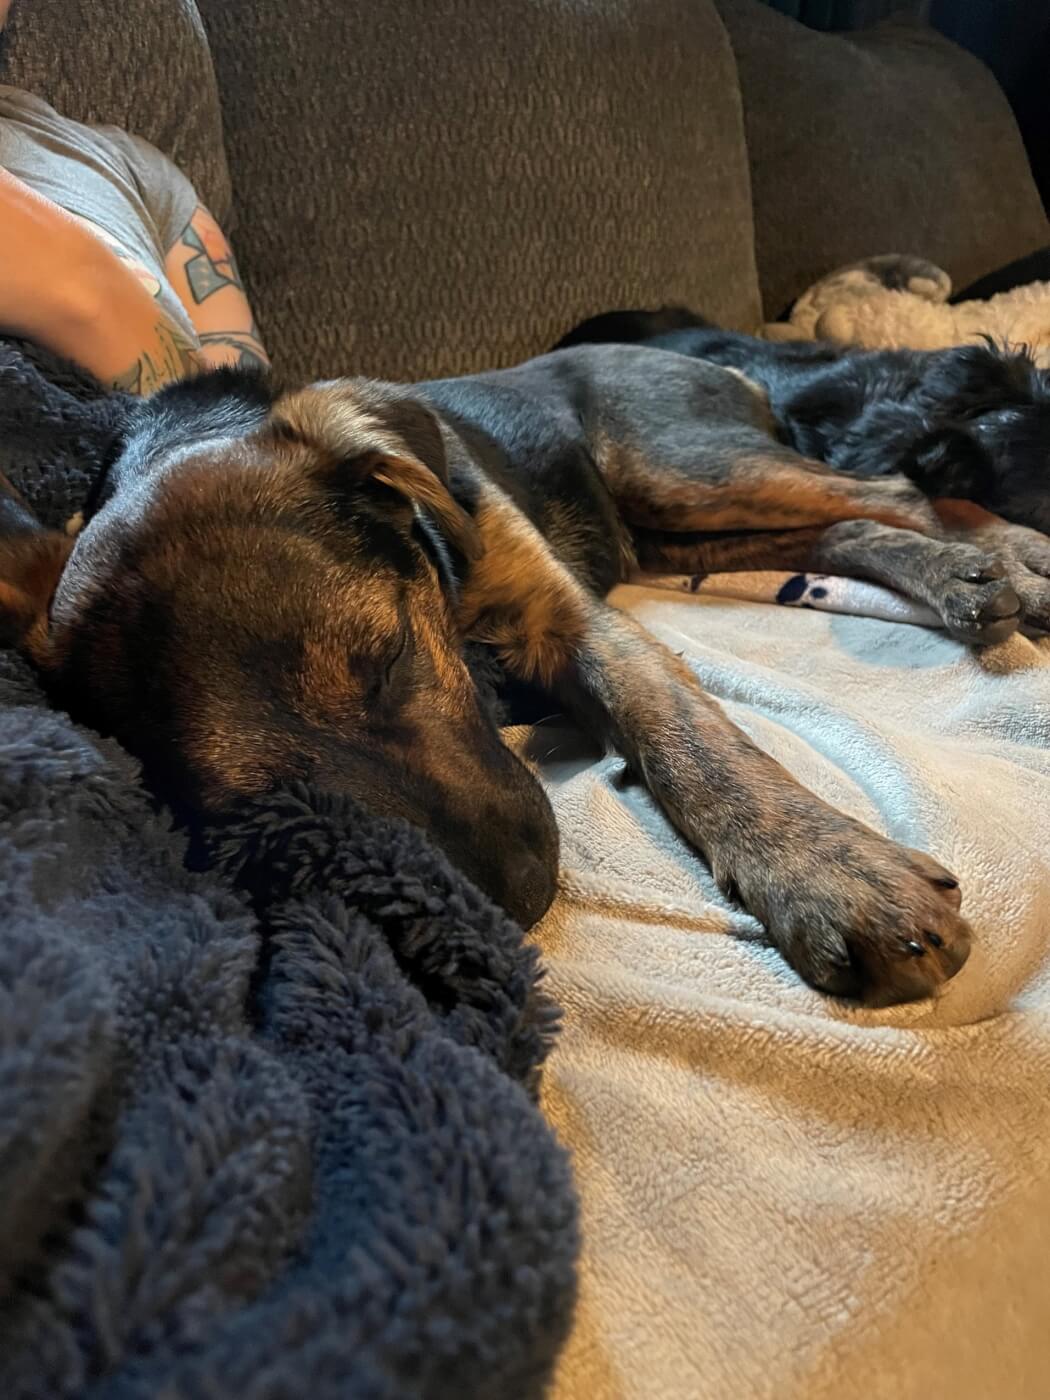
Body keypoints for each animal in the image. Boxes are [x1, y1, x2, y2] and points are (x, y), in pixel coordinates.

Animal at [6, 337, 1047, 1002]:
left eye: (387, 658)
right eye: (262, 812)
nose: (520, 896)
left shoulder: (576, 622)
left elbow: (693, 747)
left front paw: (830, 876)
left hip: (683, 466)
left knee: (895, 489)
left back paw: (1015, 555)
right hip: (672, 530)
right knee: (848, 524)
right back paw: (965, 576)